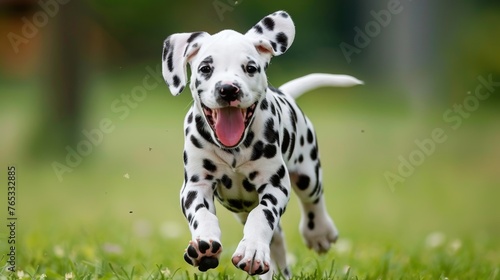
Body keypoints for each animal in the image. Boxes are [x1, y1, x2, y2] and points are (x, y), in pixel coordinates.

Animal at [162, 9, 362, 278]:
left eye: (250, 68)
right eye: (205, 68)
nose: (228, 89)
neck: (233, 150)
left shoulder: (275, 185)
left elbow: (262, 216)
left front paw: (252, 250)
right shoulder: (196, 185)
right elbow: (202, 214)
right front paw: (205, 244)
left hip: (307, 173)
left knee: (313, 200)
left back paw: (318, 232)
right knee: (276, 240)